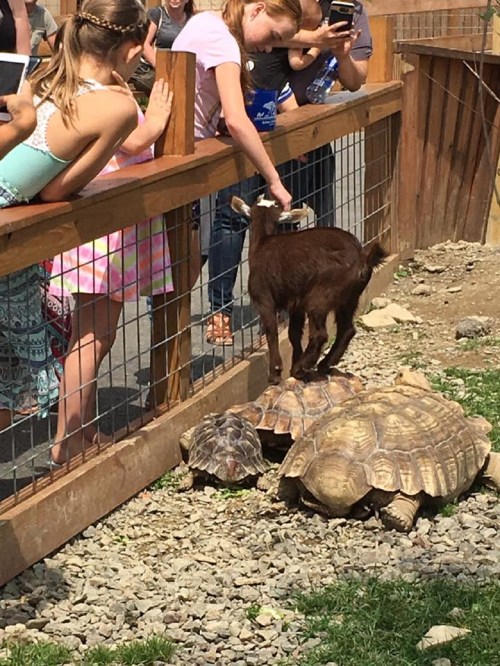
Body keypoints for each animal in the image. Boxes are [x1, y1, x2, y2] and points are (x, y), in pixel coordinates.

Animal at [232, 196, 388, 385]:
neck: (262, 244)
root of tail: (363, 259)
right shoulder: (296, 303)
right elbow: (293, 333)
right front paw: (293, 361)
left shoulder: (263, 298)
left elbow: (271, 331)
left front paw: (276, 373)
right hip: (350, 298)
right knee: (347, 329)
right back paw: (323, 364)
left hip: (321, 296)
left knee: (320, 334)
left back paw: (302, 368)